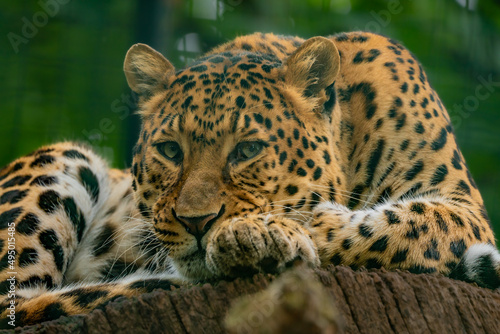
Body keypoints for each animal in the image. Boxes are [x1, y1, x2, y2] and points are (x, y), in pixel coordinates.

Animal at [0, 32, 500, 328]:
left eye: (247, 150)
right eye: (170, 151)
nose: (196, 222)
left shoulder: (462, 205)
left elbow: (398, 225)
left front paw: (279, 232)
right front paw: (263, 237)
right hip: (65, 161)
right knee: (23, 302)